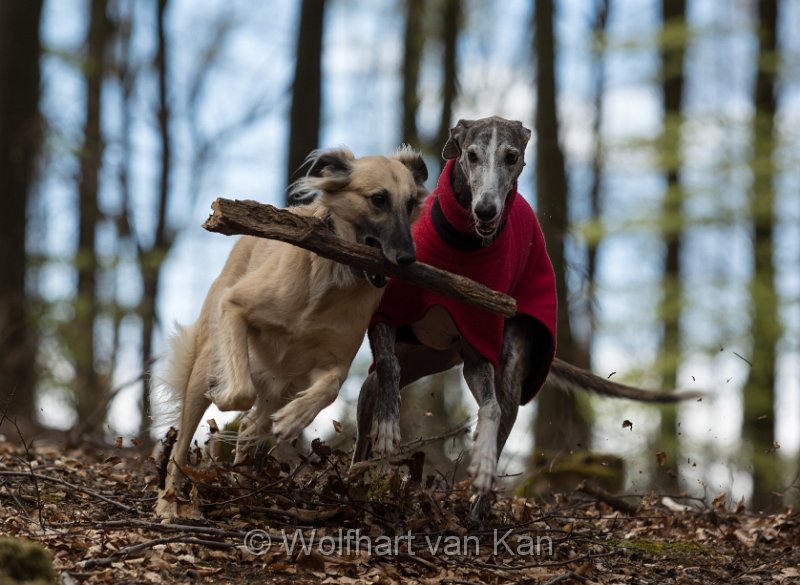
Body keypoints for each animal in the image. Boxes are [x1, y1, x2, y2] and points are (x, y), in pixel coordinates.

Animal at [158, 146, 432, 516]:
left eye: (411, 203)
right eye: (378, 199)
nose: (407, 259)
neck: (333, 278)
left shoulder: (332, 361)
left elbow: (331, 387)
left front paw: (293, 419)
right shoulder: (235, 306)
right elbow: (240, 392)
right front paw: (226, 397)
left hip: (284, 383)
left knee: (252, 424)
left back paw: (245, 482)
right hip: (207, 360)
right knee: (182, 445)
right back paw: (169, 503)